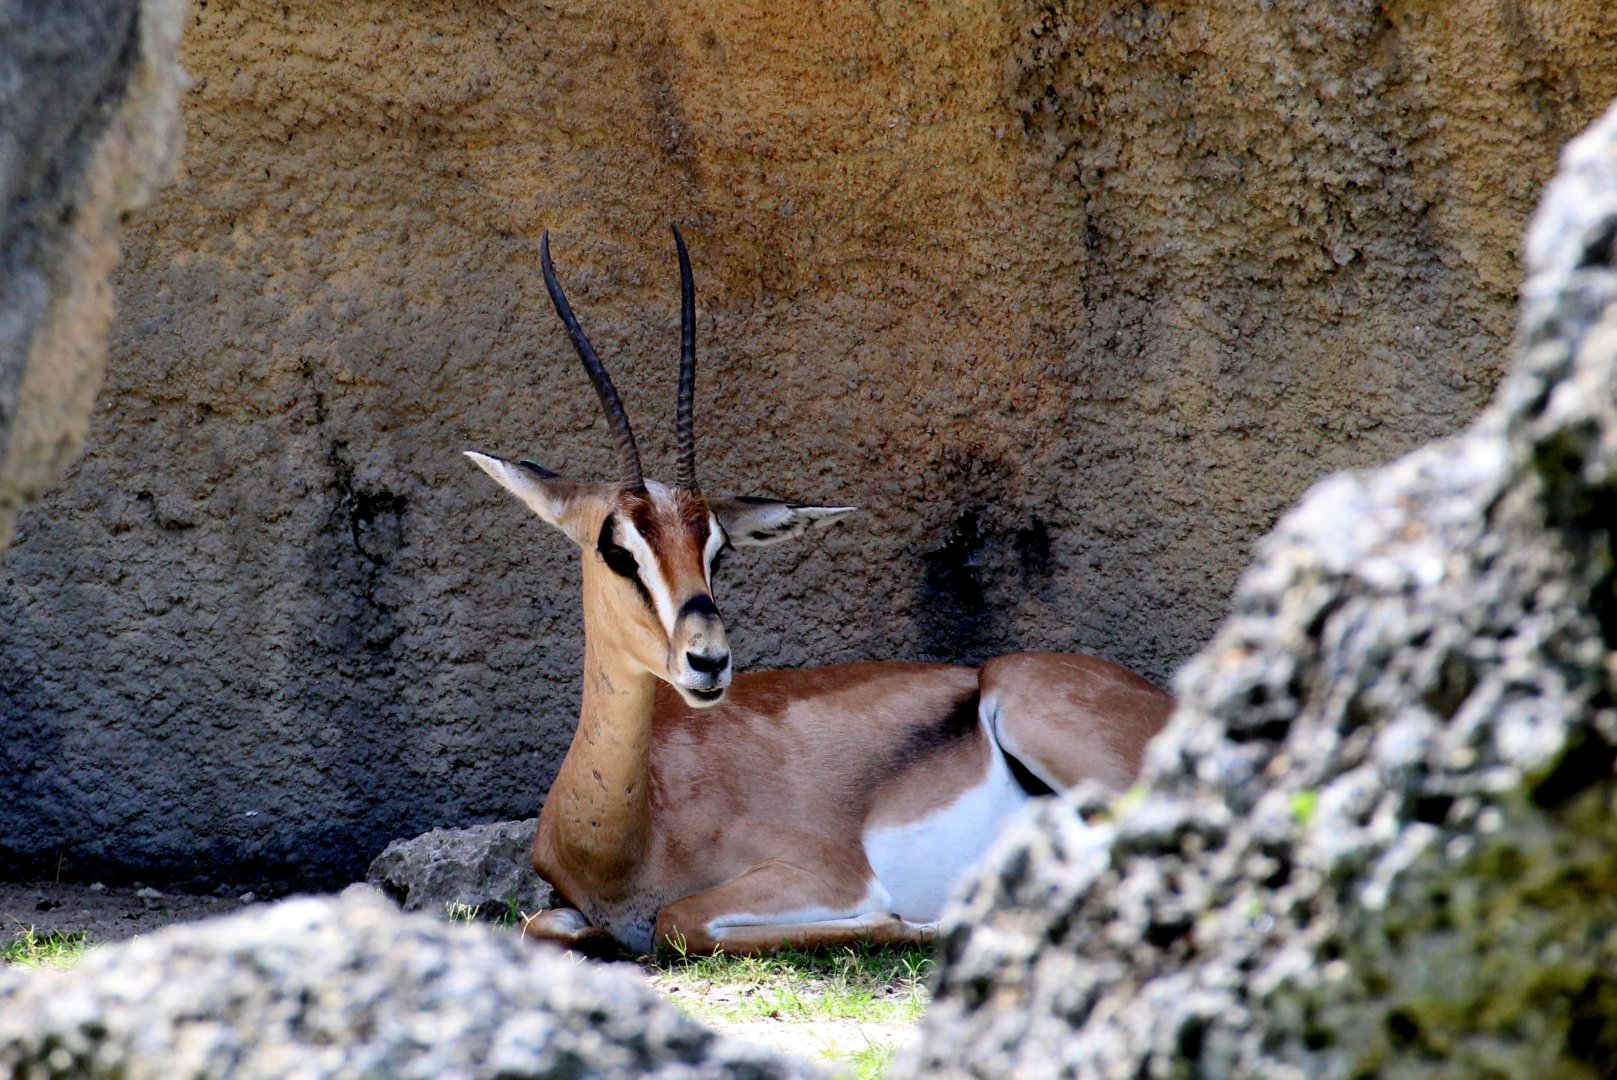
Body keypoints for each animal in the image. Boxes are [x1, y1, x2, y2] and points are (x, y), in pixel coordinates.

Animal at [465, 228, 1174, 956]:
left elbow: (681, 919)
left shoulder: (826, 874)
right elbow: (541, 923)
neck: (625, 831)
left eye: (717, 549)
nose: (708, 661)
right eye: (617, 551)